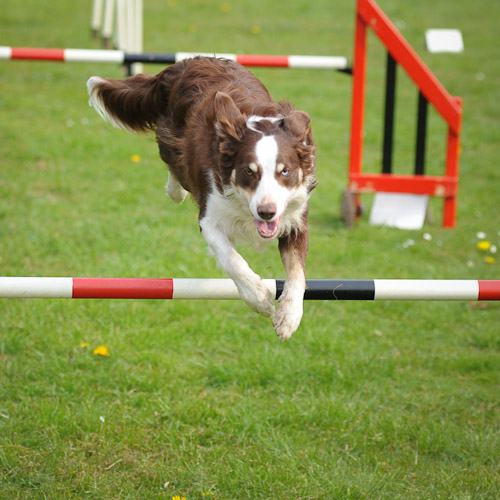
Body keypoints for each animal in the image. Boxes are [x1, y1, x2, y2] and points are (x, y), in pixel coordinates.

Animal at [86, 57, 316, 340]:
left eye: (285, 171)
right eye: (248, 172)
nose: (266, 212)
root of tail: (186, 62)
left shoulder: (295, 219)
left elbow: (297, 272)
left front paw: (288, 317)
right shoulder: (210, 217)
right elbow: (232, 259)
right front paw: (260, 299)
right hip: (174, 140)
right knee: (175, 167)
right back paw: (175, 191)